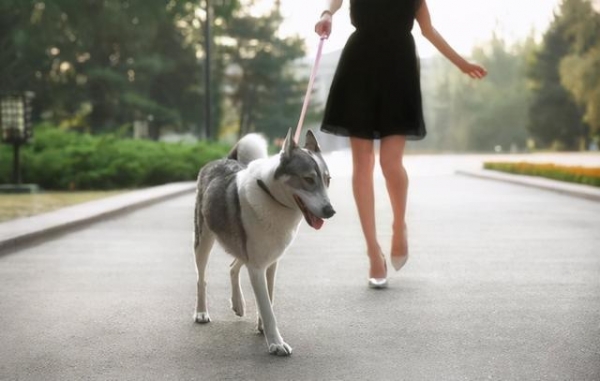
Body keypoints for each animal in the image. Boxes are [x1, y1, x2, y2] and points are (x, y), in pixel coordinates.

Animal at [193, 129, 336, 354]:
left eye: (328, 179)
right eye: (308, 179)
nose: (330, 211)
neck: (272, 197)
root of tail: (223, 159)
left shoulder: (270, 262)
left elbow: (268, 297)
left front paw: (262, 327)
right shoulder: (257, 267)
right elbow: (267, 307)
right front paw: (276, 343)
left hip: (242, 248)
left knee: (233, 267)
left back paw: (238, 304)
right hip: (203, 241)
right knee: (201, 278)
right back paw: (201, 312)